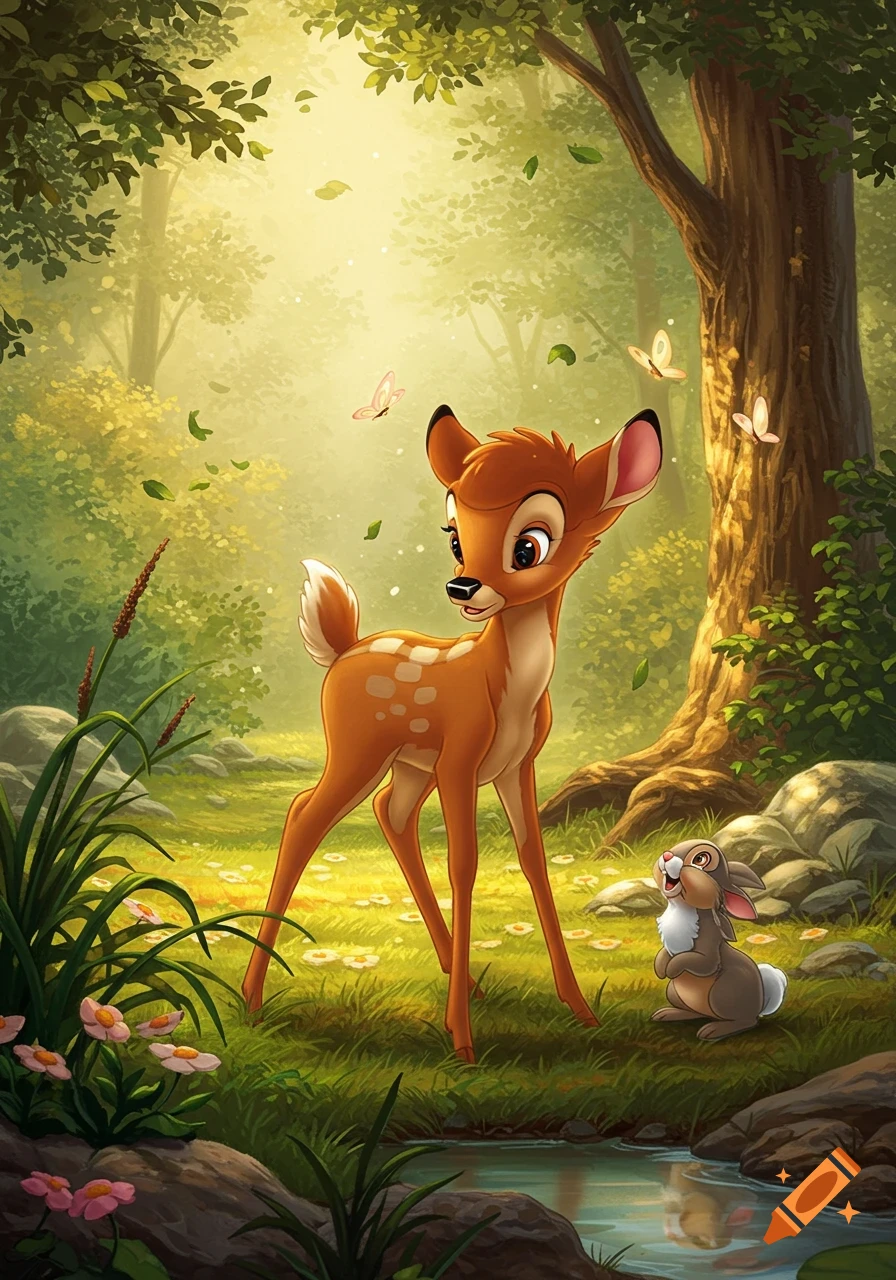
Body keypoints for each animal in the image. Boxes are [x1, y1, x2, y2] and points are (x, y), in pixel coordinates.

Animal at [242, 403, 663, 1062]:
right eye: (455, 536)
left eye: (530, 546)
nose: (462, 587)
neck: (505, 689)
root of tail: (341, 650)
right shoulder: (461, 759)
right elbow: (464, 863)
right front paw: (462, 1041)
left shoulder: (516, 765)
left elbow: (533, 858)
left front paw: (581, 1010)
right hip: (360, 750)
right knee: (304, 813)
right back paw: (253, 997)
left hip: (410, 763)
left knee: (391, 813)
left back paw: (463, 979)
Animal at [651, 839, 787, 1040]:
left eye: (700, 859)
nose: (666, 855)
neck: (682, 908)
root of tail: (760, 1003)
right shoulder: (669, 950)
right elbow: (664, 953)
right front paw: (661, 969)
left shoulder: (709, 948)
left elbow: (698, 961)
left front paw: (670, 969)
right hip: (673, 991)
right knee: (695, 1012)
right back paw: (668, 1013)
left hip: (723, 992)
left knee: (747, 1021)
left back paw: (713, 1031)